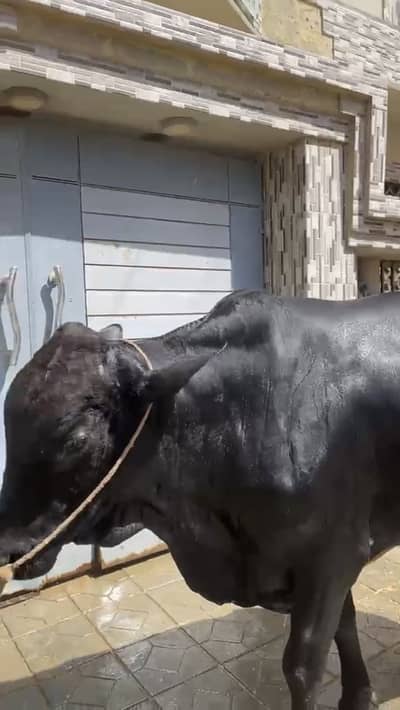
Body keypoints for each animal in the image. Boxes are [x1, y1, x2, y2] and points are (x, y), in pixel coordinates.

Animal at [1, 288, 398, 710]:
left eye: (75, 439)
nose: (7, 549)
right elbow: (346, 627)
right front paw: (359, 696)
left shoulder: (334, 555)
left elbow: (303, 666)